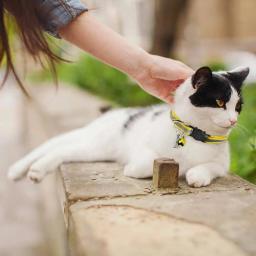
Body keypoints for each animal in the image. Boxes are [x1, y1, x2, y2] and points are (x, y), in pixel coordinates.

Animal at [8, 66, 250, 186]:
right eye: (219, 103)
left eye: (238, 106)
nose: (233, 120)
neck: (195, 136)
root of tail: (112, 114)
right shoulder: (144, 148)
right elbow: (145, 163)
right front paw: (133, 169)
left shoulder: (222, 165)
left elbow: (210, 168)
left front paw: (196, 175)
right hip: (98, 144)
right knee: (58, 147)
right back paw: (31, 169)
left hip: (94, 148)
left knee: (62, 148)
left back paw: (32, 170)